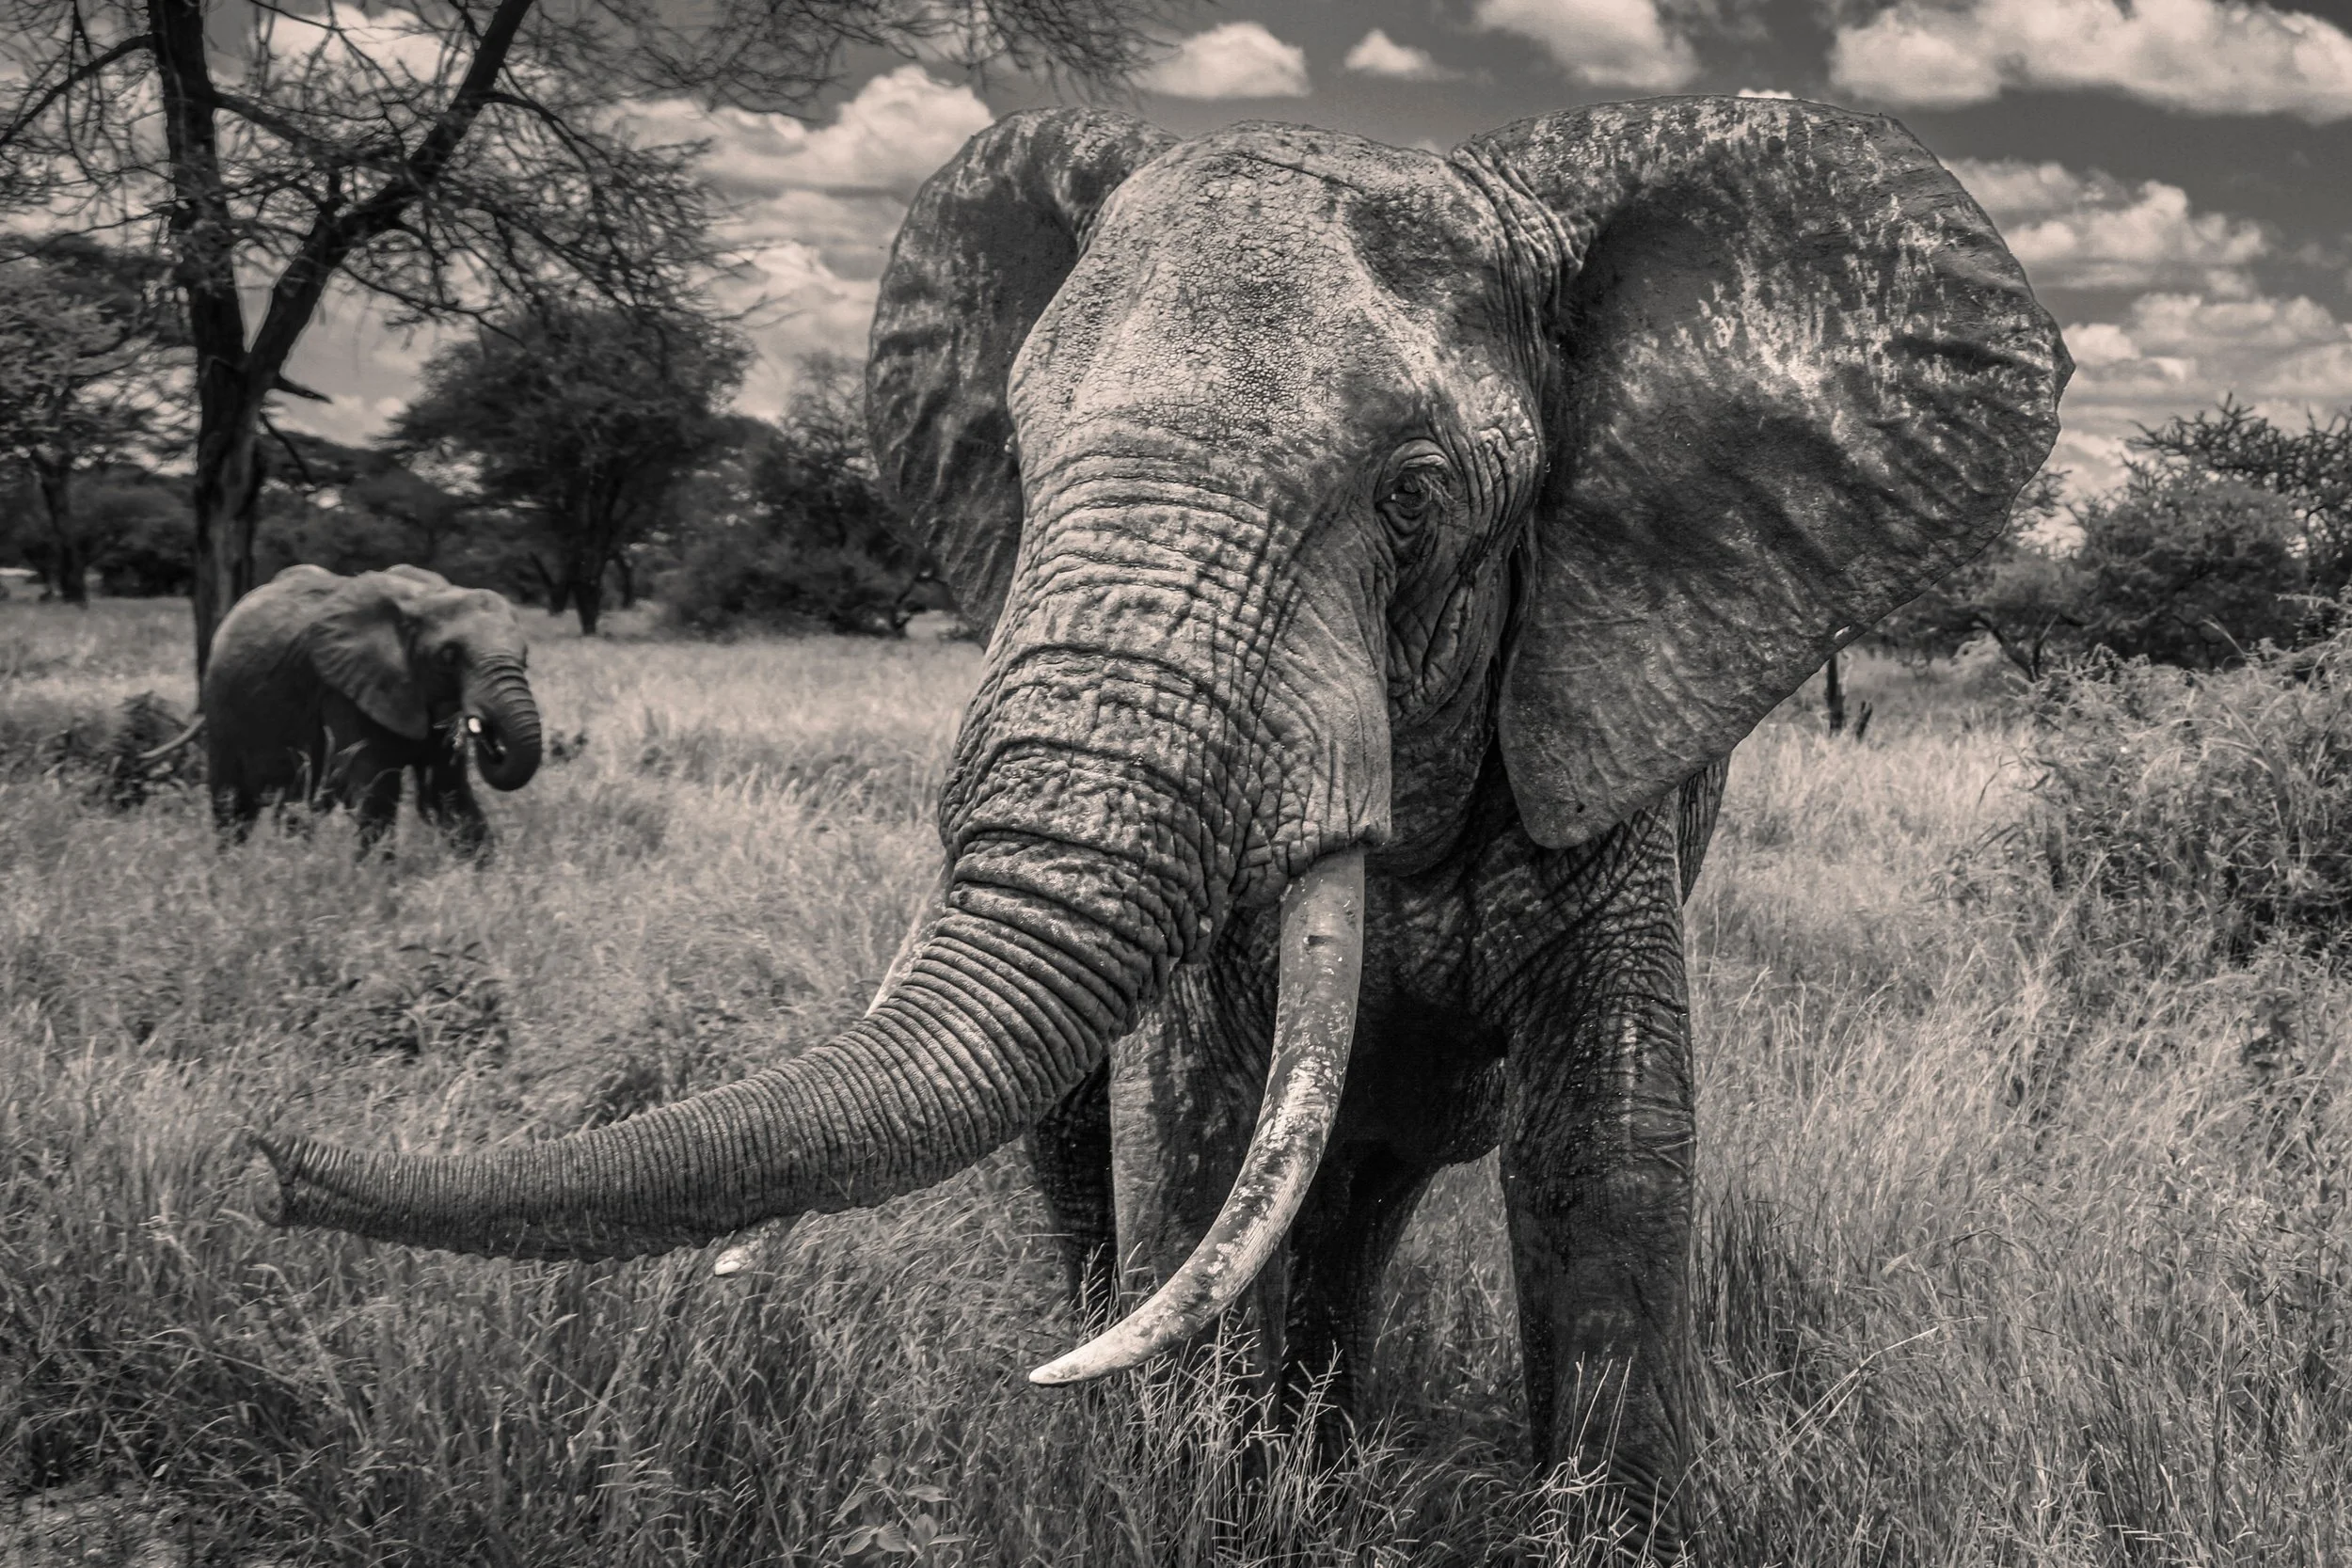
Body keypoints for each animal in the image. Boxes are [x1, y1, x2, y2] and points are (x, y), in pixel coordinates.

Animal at [203, 563, 544, 855]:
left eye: (525, 657)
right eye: (449, 656)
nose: (487, 734)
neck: (425, 597)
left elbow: (447, 792)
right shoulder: (346, 690)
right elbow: (374, 791)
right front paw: (382, 884)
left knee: (296, 807)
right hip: (222, 712)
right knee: (233, 806)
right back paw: (232, 866)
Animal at [250, 97, 2067, 1548]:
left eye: (1413, 500)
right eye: (1020, 453)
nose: (269, 1168)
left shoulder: (1602, 713)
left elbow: (1605, 1147)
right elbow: (1200, 1123)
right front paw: (1204, 1494)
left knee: (1385, 1152)